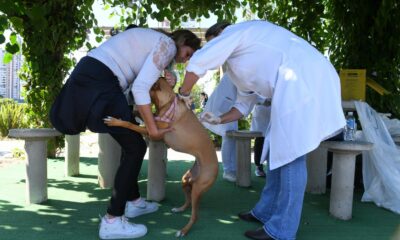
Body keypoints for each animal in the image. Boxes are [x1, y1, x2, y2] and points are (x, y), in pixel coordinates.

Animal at [104, 77, 219, 236]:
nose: (129, 91)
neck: (168, 103)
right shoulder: (152, 120)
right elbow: (139, 113)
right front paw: (133, 111)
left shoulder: (151, 131)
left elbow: (130, 124)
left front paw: (117, 121)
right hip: (186, 179)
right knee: (189, 200)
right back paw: (180, 209)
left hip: (198, 187)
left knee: (195, 215)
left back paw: (183, 230)